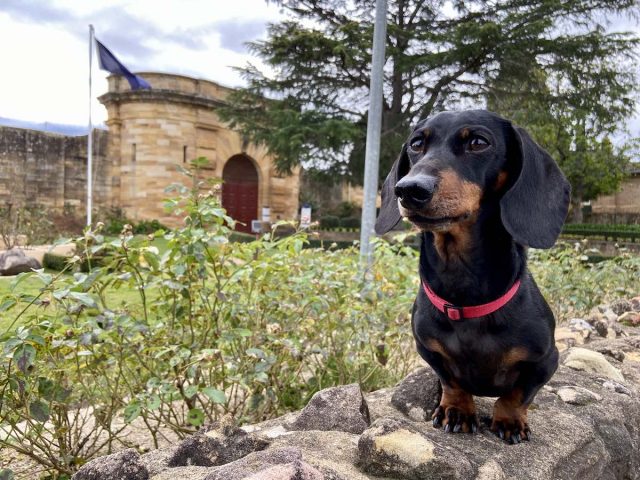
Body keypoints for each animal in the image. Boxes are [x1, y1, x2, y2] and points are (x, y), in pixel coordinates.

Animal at [376, 110, 568, 444]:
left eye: (478, 142)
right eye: (416, 144)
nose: (409, 189)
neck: (463, 291)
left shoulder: (546, 360)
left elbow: (519, 393)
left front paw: (509, 420)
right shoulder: (428, 349)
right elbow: (451, 381)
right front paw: (457, 411)